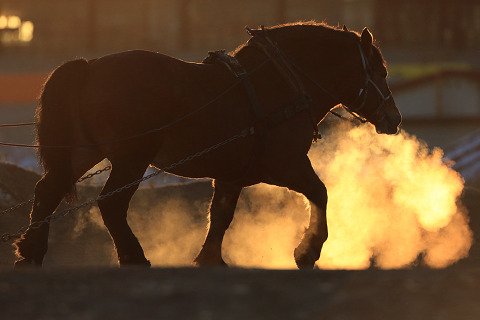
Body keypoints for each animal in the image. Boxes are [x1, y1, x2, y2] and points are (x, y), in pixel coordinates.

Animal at [13, 20, 402, 270]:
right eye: (380, 70)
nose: (394, 118)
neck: (279, 83)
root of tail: (89, 67)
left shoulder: (231, 176)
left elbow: (221, 216)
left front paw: (210, 258)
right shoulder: (287, 165)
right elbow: (320, 193)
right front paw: (308, 251)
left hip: (84, 152)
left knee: (47, 190)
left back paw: (31, 251)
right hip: (131, 158)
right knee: (110, 203)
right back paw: (133, 256)